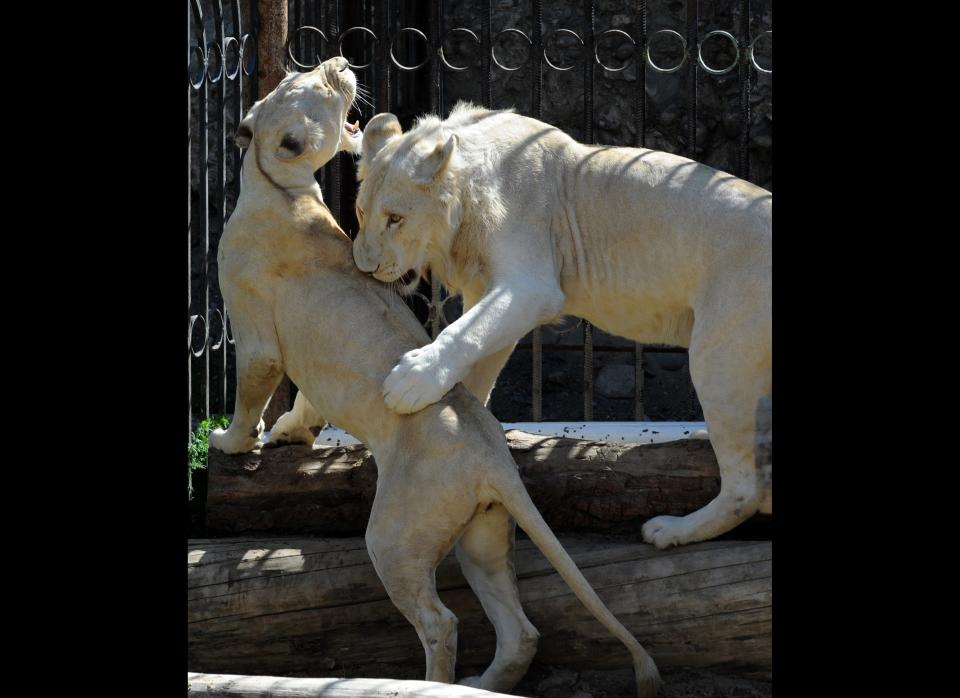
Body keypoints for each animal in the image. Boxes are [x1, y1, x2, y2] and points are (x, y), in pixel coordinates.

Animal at [208, 59, 660, 696]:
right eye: (307, 78)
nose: (339, 65)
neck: (281, 188)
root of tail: (494, 457)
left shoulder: (256, 336)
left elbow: (254, 390)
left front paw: (230, 442)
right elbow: (304, 404)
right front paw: (292, 434)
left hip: (397, 534)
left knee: (440, 622)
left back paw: (437, 682)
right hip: (482, 533)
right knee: (520, 631)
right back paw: (482, 683)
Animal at [348, 104, 776, 548]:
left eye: (395, 218)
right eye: (361, 211)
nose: (364, 266)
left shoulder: (532, 284)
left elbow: (462, 334)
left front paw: (411, 380)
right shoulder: (489, 288)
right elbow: (476, 360)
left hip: (720, 353)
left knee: (747, 489)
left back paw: (672, 528)